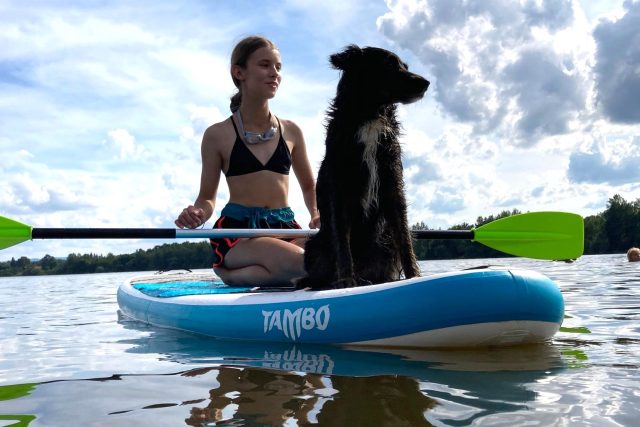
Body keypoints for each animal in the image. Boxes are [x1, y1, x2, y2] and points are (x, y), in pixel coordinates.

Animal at [304, 45, 430, 290]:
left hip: (385, 241)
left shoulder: (393, 183)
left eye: (405, 66)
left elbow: (404, 238)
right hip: (314, 245)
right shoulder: (339, 190)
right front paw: (346, 279)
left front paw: (414, 275)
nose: (426, 83)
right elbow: (342, 241)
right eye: (390, 64)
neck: (371, 116)